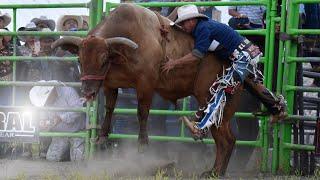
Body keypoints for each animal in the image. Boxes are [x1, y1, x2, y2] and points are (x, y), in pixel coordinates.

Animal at [52, 3, 242, 176]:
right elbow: (109, 109)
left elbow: (142, 112)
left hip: (211, 100)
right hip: (224, 110)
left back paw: (214, 171)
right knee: (229, 139)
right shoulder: (110, 85)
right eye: (79, 59)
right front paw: (102, 137)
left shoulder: (146, 84)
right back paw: (218, 171)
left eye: (104, 59)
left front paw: (142, 143)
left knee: (224, 139)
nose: (88, 92)